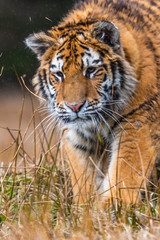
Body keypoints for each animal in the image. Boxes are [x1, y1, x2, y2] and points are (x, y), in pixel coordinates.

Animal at [25, 0, 160, 205]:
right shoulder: (76, 137)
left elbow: (125, 171)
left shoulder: (138, 122)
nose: (74, 106)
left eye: (90, 70)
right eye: (59, 74)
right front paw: (86, 208)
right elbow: (83, 178)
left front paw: (115, 206)